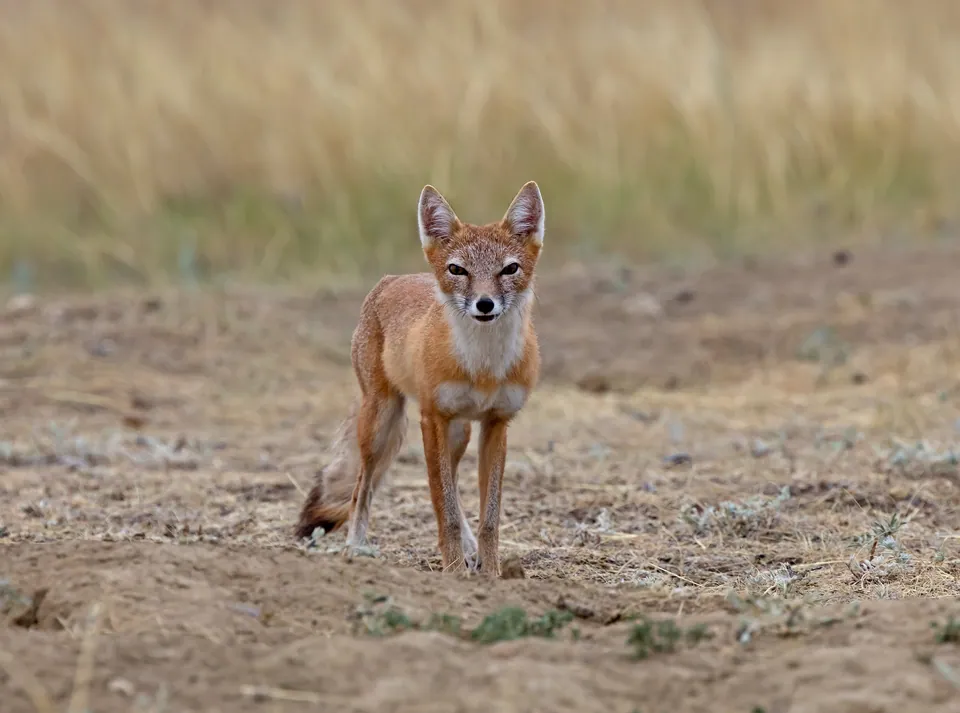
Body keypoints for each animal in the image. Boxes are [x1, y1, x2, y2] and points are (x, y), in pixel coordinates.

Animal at [294, 181, 545, 576]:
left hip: (459, 433)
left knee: (453, 485)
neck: (483, 366)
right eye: (458, 269)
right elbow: (444, 509)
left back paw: (471, 552)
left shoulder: (496, 423)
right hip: (381, 423)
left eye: (510, 269)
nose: (484, 304)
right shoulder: (433, 419)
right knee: (362, 488)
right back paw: (355, 547)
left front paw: (490, 573)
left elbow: (488, 515)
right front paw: (453, 570)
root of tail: (391, 279)